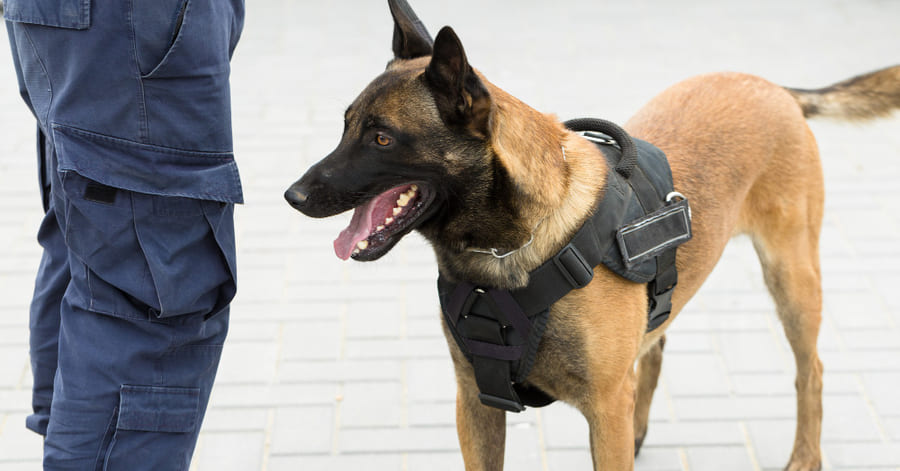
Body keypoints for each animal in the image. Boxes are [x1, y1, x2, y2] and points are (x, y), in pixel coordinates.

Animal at [286, 1, 900, 470]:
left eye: (382, 138)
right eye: (346, 126)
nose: (293, 195)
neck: (508, 251)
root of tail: (777, 87)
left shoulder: (602, 409)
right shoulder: (476, 402)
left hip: (791, 277)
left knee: (811, 370)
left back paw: (805, 457)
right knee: (656, 346)